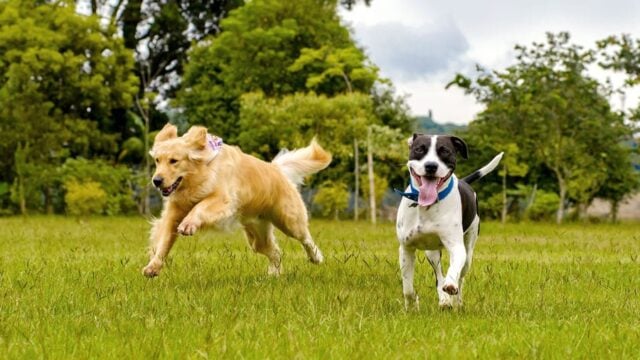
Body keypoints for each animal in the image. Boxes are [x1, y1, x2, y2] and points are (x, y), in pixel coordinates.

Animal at [396, 134, 504, 308]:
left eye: (445, 151)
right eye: (419, 149)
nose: (431, 166)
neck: (427, 206)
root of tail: (464, 181)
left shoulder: (456, 247)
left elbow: (453, 271)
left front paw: (451, 285)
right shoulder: (406, 248)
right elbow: (408, 288)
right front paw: (412, 306)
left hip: (468, 251)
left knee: (461, 276)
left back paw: (456, 301)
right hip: (431, 253)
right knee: (438, 275)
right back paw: (444, 300)